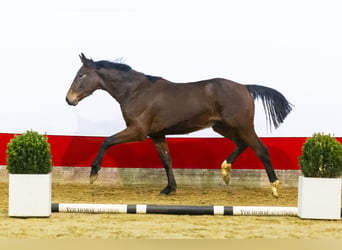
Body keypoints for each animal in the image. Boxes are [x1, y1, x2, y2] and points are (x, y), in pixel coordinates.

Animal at [67, 54, 294, 197]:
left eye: (81, 75)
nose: (69, 99)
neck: (136, 92)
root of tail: (245, 87)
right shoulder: (157, 135)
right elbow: (167, 160)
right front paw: (169, 189)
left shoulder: (138, 131)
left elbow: (106, 141)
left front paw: (93, 175)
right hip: (222, 127)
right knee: (242, 144)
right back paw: (225, 171)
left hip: (242, 126)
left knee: (261, 149)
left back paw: (274, 187)